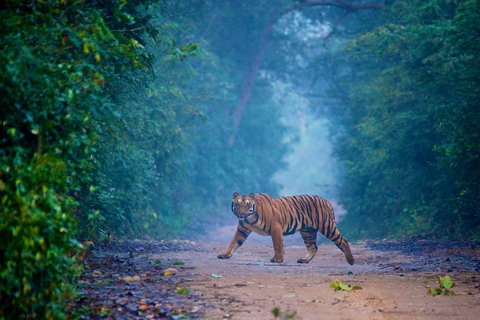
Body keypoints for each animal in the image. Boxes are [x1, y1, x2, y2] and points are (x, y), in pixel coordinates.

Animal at [218, 192, 352, 264]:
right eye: (237, 204)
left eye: (246, 205)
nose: (241, 214)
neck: (249, 218)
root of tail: (326, 201)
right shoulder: (242, 230)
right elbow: (234, 243)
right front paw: (225, 255)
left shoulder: (275, 227)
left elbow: (277, 244)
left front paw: (277, 259)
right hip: (307, 231)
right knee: (313, 247)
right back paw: (304, 260)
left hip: (327, 226)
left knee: (343, 240)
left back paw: (351, 260)